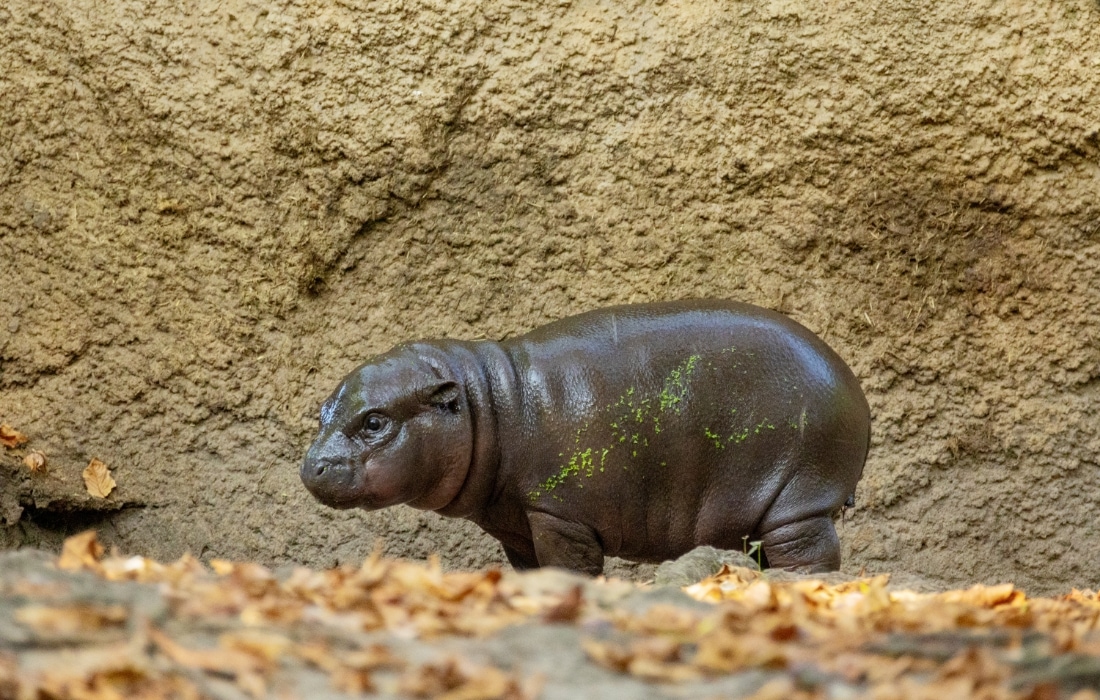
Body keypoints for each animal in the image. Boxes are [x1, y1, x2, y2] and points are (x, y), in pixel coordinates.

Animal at [301, 300, 871, 575]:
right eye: (323, 409)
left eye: (374, 421)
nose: (312, 466)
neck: (490, 403)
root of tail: (854, 388)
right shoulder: (515, 522)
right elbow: (530, 569)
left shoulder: (561, 515)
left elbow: (568, 567)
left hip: (799, 500)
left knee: (809, 555)